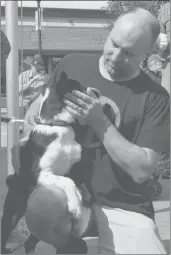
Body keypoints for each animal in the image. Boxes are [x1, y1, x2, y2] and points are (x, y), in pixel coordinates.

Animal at [1, 72, 99, 255]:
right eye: (80, 87)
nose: (97, 92)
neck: (59, 125)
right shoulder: (40, 174)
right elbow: (67, 181)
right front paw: (75, 205)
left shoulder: (75, 169)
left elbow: (76, 183)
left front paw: (79, 202)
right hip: (12, 212)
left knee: (30, 242)